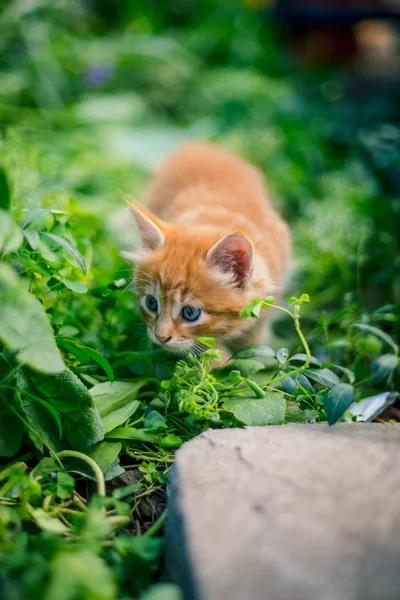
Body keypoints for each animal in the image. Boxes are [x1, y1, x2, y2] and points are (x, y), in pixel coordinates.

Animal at [126, 142, 290, 354]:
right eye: (151, 303)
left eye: (190, 312)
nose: (160, 337)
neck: (215, 218)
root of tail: (198, 144)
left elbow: (256, 336)